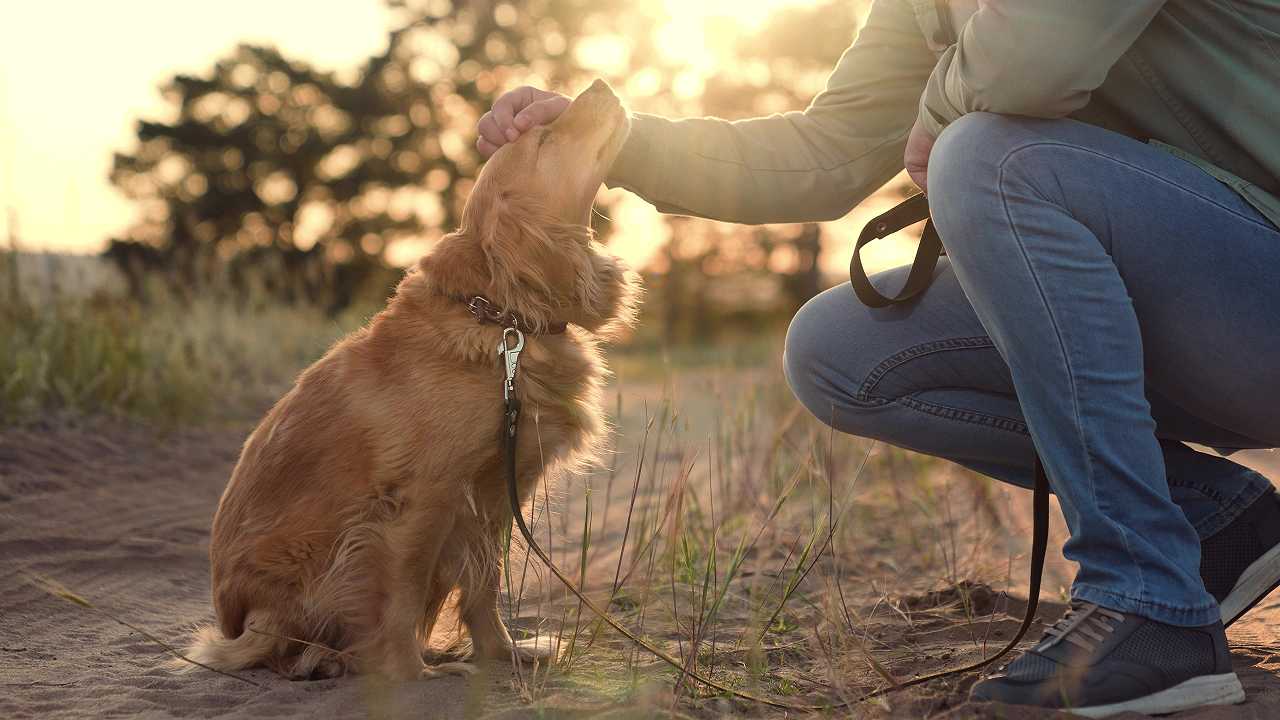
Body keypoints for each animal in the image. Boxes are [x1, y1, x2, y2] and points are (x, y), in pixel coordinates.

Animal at [186, 78, 640, 676]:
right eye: (544, 139)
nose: (602, 83)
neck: (500, 318)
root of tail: (237, 623)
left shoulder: (494, 494)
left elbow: (485, 586)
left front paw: (502, 653)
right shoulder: (419, 500)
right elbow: (400, 595)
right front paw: (409, 672)